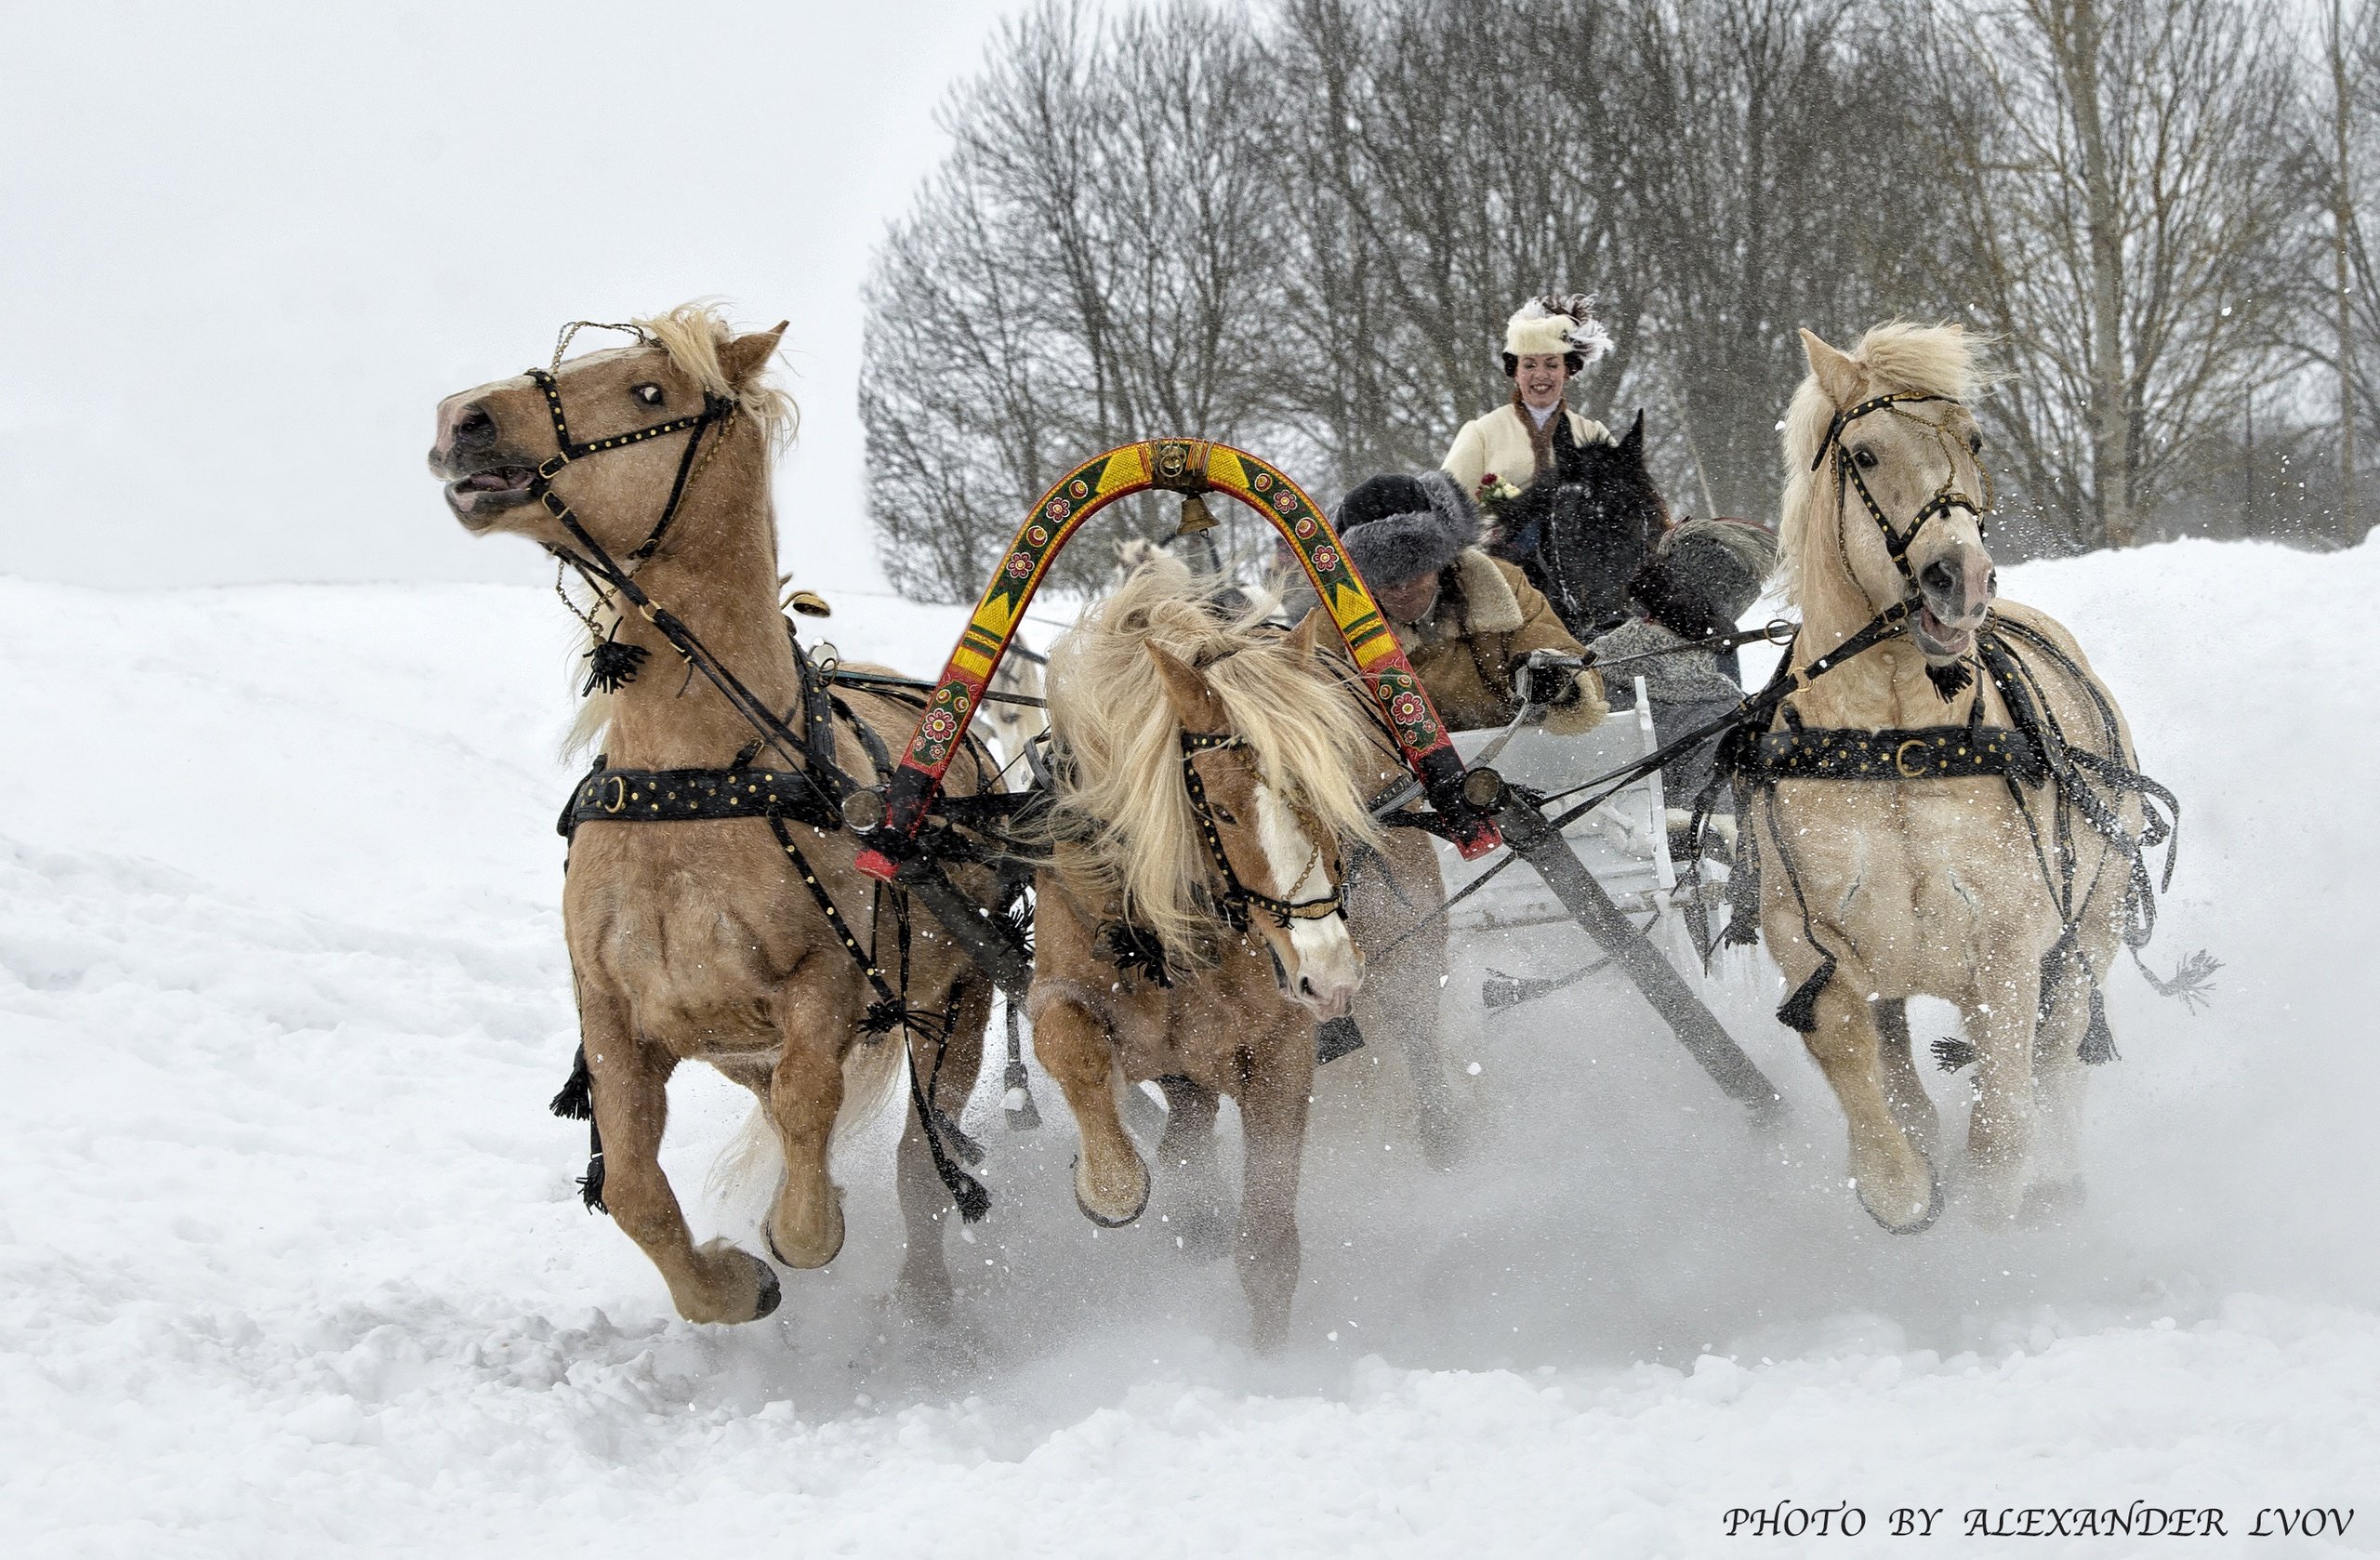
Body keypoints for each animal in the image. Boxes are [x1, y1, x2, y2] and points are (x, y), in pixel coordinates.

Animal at [428, 307, 995, 1333]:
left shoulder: (823, 991)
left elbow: (811, 1109)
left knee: (918, 1162)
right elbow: (633, 1188)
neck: (694, 789)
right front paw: (732, 1283)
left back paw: (927, 1299)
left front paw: (801, 1234)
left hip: (956, 1006)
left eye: (651, 391)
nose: (463, 418)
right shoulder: (619, 1017)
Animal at [1027, 564, 1390, 1353]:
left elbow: (1267, 1247)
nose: (1331, 975)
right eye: (1221, 810)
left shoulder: (1281, 1047)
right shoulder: (1064, 981)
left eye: (1330, 783)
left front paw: (1269, 1364)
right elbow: (1069, 1044)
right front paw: (1111, 1185)